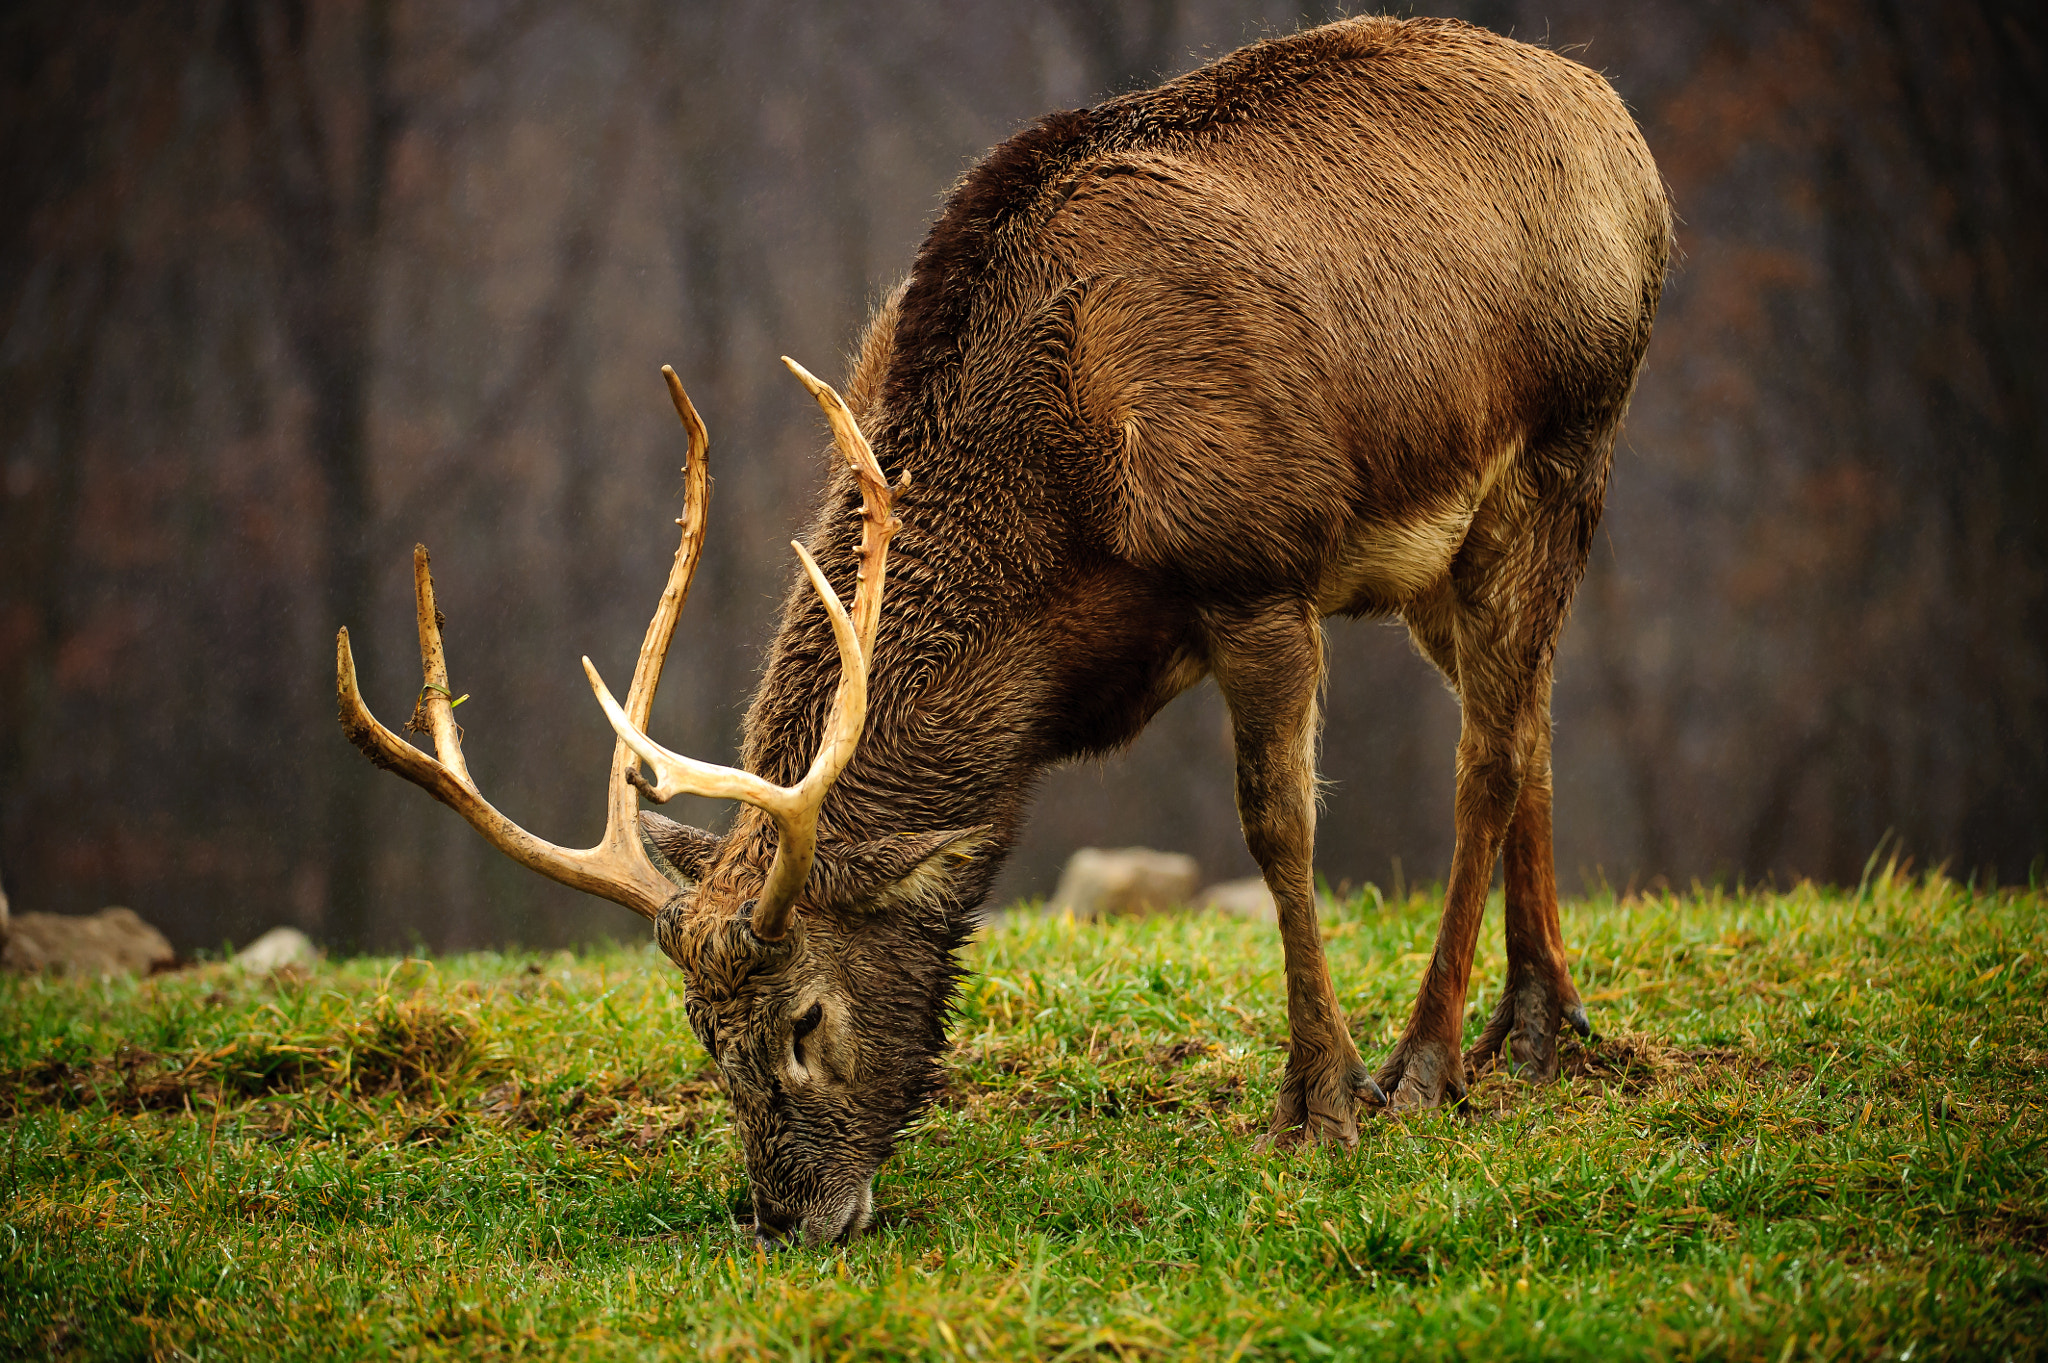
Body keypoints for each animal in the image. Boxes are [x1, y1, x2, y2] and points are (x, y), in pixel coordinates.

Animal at [337, 16, 1670, 1246]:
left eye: (806, 1020)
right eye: (699, 1034)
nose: (787, 1219)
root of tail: (1617, 126)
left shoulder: (1256, 562)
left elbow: (1279, 829)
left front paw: (1319, 1105)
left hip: (1567, 441)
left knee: (1484, 751)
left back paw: (1429, 1061)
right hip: (1439, 560)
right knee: (1527, 712)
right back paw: (1539, 1020)